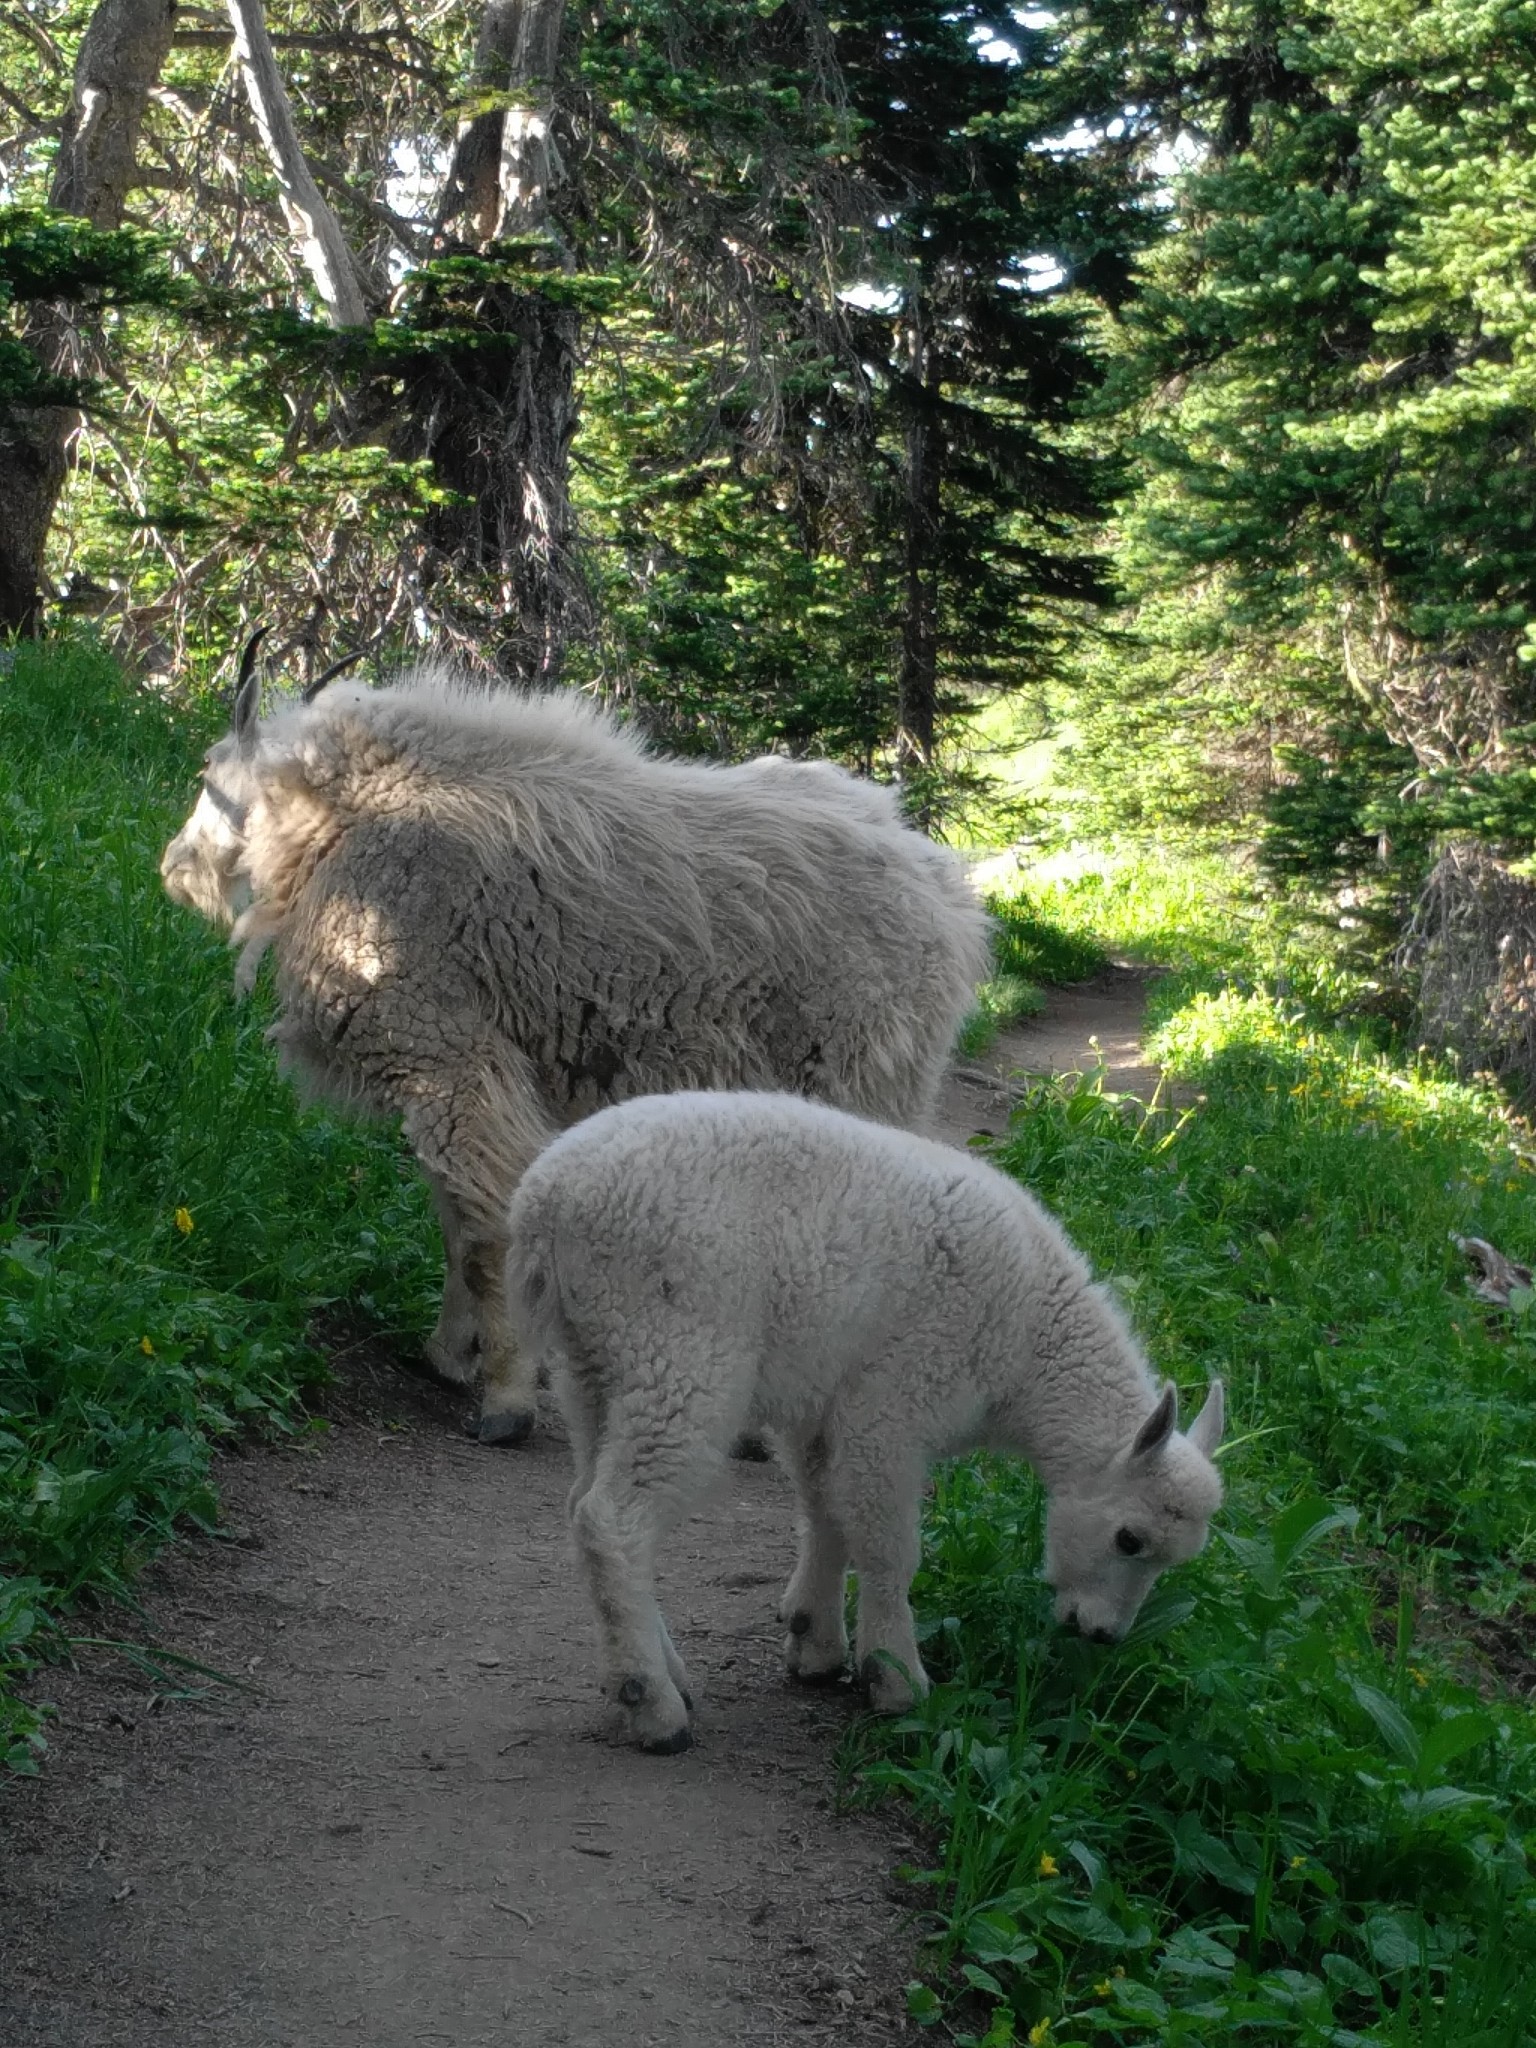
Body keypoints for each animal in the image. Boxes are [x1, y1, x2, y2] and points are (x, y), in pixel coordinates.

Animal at [162, 651, 991, 1441]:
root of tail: (952, 904)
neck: (339, 818)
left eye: (206, 767)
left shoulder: (445, 1057)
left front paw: (505, 1398)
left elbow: (484, 1231)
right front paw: (446, 1355)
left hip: (860, 1079)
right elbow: (453, 1219)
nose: (173, 868)